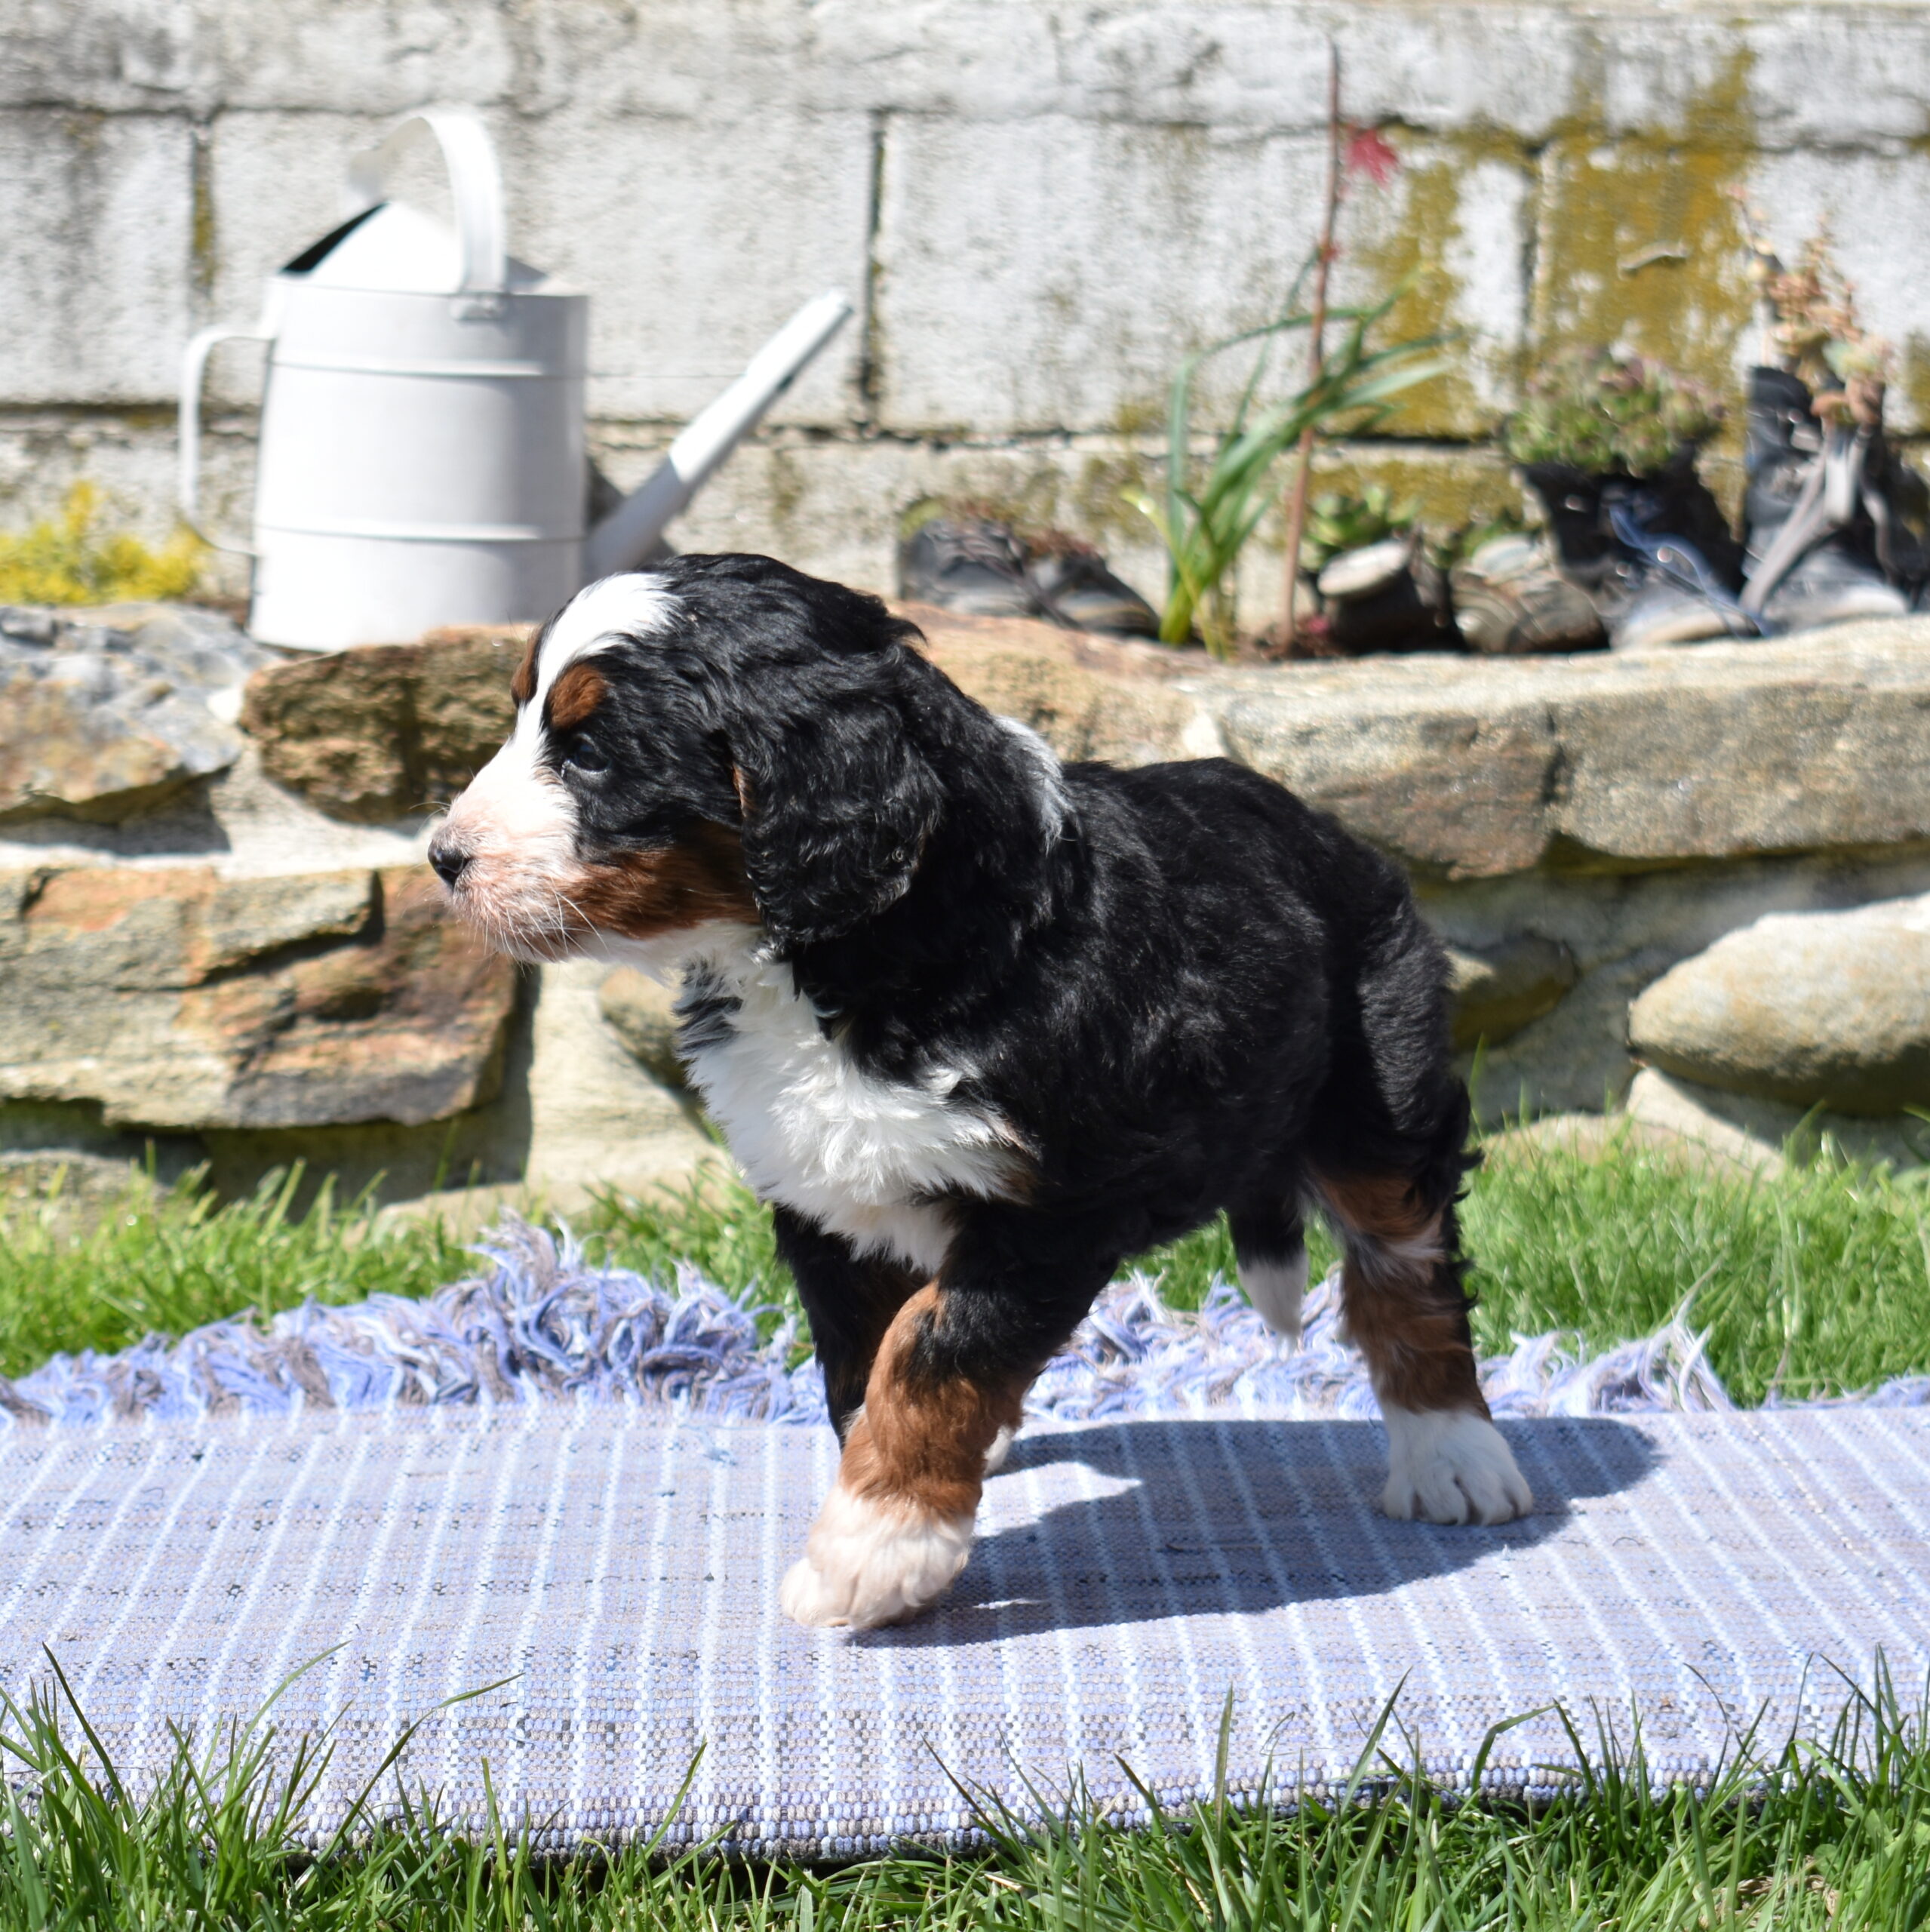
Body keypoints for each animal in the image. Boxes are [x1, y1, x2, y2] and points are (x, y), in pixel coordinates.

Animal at [428, 554, 1533, 1629]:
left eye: (588, 753)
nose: (442, 857)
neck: (861, 954)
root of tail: (1323, 824)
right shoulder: (825, 1203)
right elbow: (869, 1363)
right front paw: (895, 1508)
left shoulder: (1051, 1205)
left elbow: (931, 1352)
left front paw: (873, 1551)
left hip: (1378, 1091)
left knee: (1407, 1267)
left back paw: (1454, 1456)